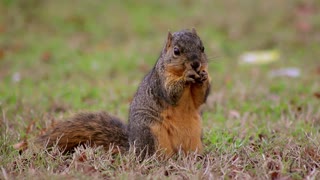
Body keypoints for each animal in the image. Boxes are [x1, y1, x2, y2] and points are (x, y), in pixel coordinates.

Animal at [35, 28, 211, 158]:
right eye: (176, 51)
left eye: (202, 48)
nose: (196, 64)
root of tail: (132, 146)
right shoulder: (160, 82)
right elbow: (171, 94)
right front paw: (187, 76)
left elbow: (200, 99)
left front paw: (204, 77)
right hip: (151, 132)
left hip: (195, 133)